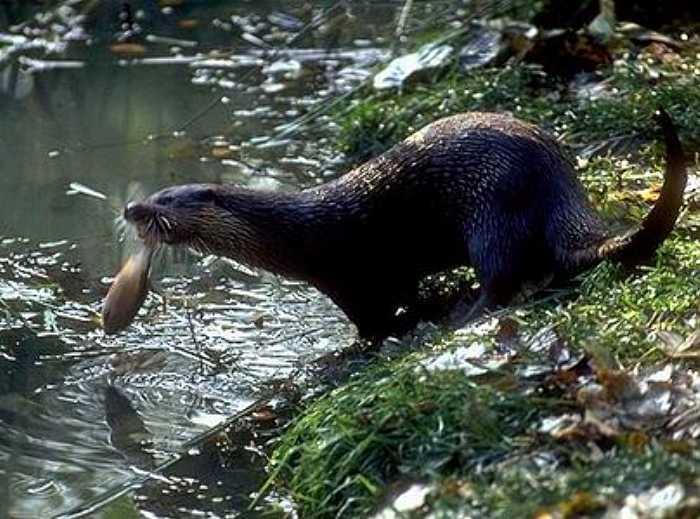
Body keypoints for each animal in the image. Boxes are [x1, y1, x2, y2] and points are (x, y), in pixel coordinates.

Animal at [117, 109, 688, 342]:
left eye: (165, 199)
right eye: (151, 196)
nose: (132, 209)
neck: (292, 233)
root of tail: (559, 180)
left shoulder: (345, 275)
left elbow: (371, 316)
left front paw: (370, 339)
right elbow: (407, 291)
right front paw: (418, 309)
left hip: (492, 208)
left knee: (503, 275)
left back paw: (466, 312)